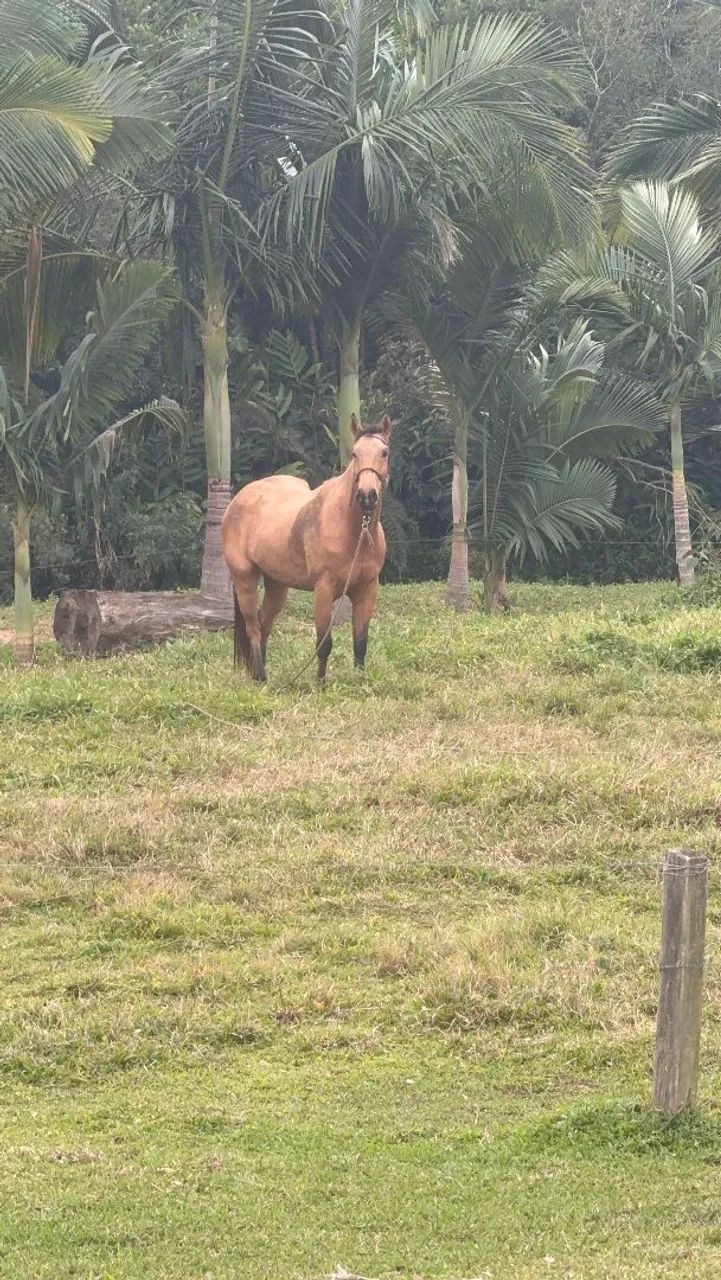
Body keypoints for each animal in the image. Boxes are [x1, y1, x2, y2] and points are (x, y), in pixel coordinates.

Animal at [221, 413, 392, 682]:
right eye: (354, 453)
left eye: (384, 452)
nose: (367, 496)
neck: (355, 531)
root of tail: (237, 500)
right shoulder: (323, 590)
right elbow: (324, 644)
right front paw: (320, 683)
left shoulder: (367, 589)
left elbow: (360, 641)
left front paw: (360, 680)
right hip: (244, 579)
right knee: (253, 628)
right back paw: (260, 676)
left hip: (277, 585)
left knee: (264, 622)